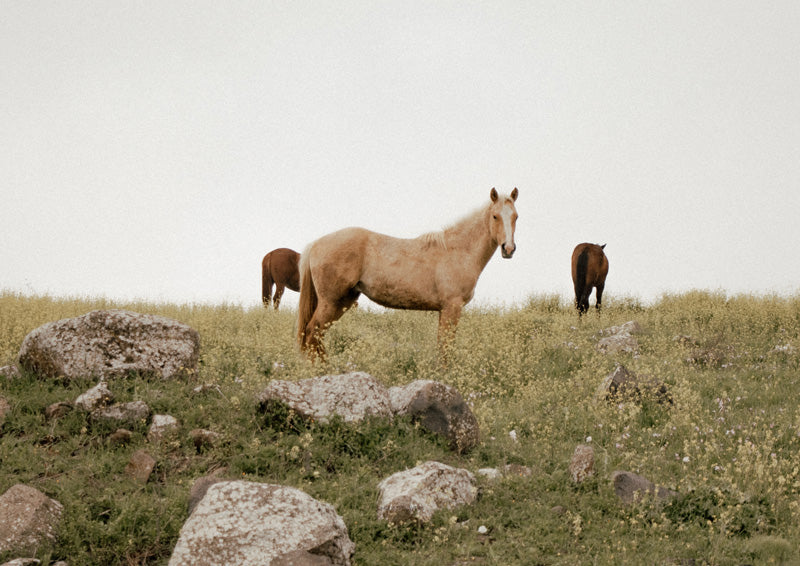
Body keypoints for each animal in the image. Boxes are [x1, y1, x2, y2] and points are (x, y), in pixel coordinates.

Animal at [297, 188, 519, 361]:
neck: (457, 250)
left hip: (343, 302)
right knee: (311, 333)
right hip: (331, 302)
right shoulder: (452, 307)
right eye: (495, 216)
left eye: (515, 216)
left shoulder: (444, 310)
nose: (508, 249)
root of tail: (316, 244)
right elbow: (446, 348)